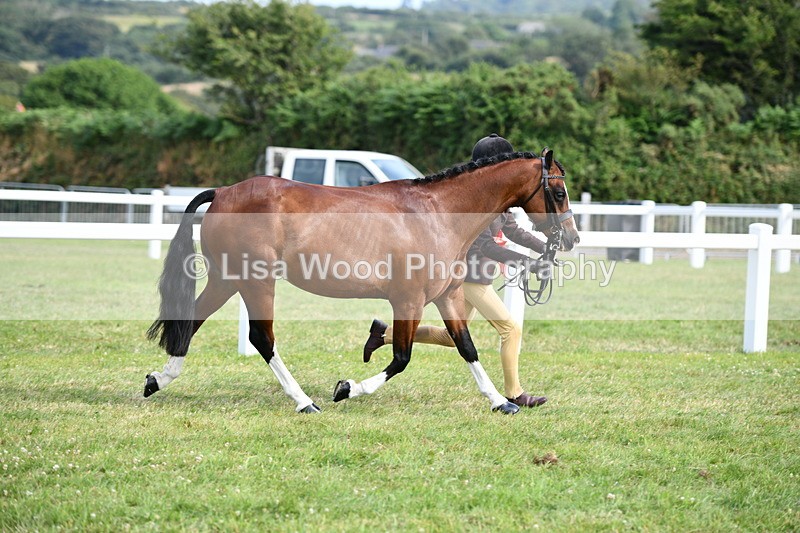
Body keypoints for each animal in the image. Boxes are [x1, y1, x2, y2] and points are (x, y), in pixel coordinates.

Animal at [144, 149, 580, 414]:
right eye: (558, 191)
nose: (571, 239)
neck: (437, 213)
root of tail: (222, 192)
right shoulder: (408, 301)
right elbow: (401, 358)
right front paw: (347, 388)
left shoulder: (447, 298)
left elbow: (466, 347)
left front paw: (500, 402)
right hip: (255, 282)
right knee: (261, 339)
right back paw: (304, 401)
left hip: (227, 279)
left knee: (191, 322)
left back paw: (157, 380)